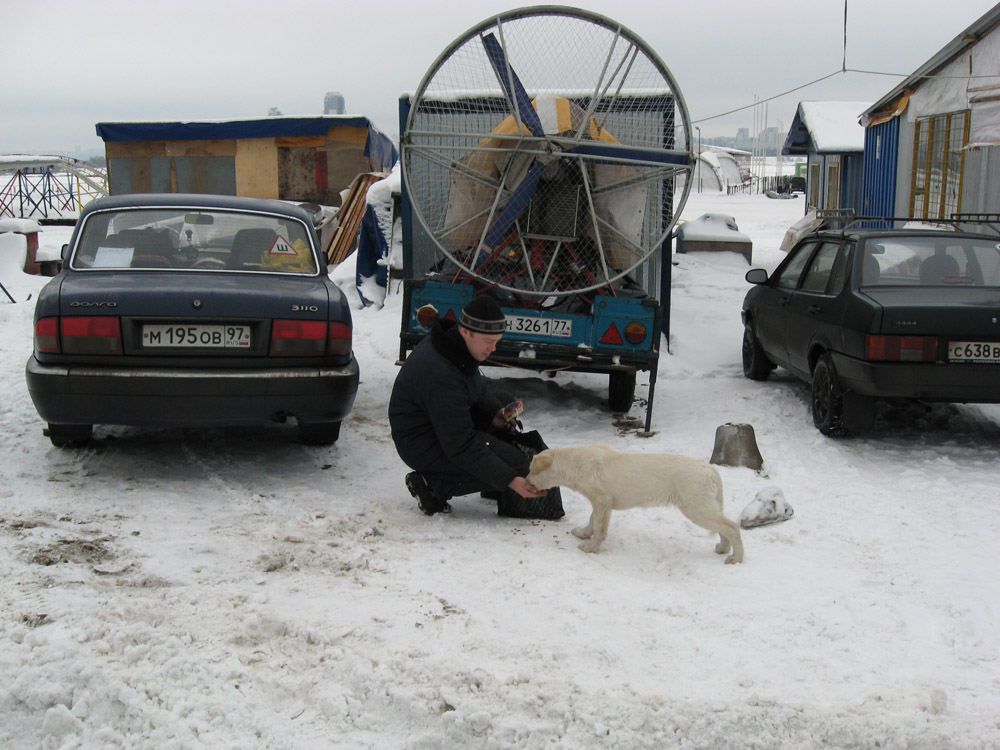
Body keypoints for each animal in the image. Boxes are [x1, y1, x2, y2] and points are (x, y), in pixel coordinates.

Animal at [527, 445, 744, 564]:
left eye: (530, 470)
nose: (526, 481)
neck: (576, 463)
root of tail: (711, 471)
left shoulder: (602, 501)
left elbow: (599, 528)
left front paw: (591, 547)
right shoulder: (601, 502)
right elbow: (592, 520)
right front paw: (584, 533)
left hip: (697, 509)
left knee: (732, 527)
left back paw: (737, 558)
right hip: (707, 507)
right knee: (724, 528)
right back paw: (723, 549)